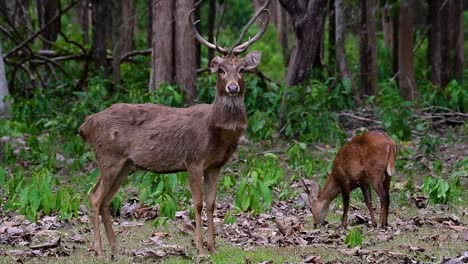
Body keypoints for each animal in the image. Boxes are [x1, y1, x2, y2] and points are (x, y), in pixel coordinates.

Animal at [79, 0, 272, 256]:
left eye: (241, 69)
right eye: (221, 70)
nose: (232, 87)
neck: (218, 132)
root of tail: (85, 125)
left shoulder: (215, 165)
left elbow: (212, 204)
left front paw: (214, 247)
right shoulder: (194, 159)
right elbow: (198, 204)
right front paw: (200, 248)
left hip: (125, 164)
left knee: (105, 200)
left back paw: (115, 249)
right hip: (108, 156)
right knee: (94, 197)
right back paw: (100, 250)